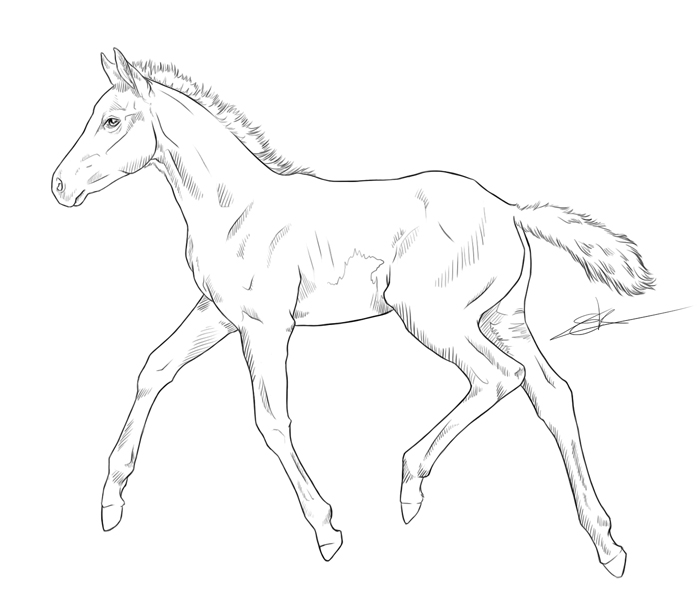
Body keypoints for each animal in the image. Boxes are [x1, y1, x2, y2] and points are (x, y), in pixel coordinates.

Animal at [52, 49, 653, 576]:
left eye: (111, 120)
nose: (59, 185)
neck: (234, 210)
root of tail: (509, 210)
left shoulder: (266, 326)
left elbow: (271, 418)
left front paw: (326, 530)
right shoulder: (218, 314)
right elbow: (154, 368)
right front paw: (110, 501)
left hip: (434, 319)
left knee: (499, 377)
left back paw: (412, 483)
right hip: (502, 320)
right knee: (552, 394)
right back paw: (607, 544)